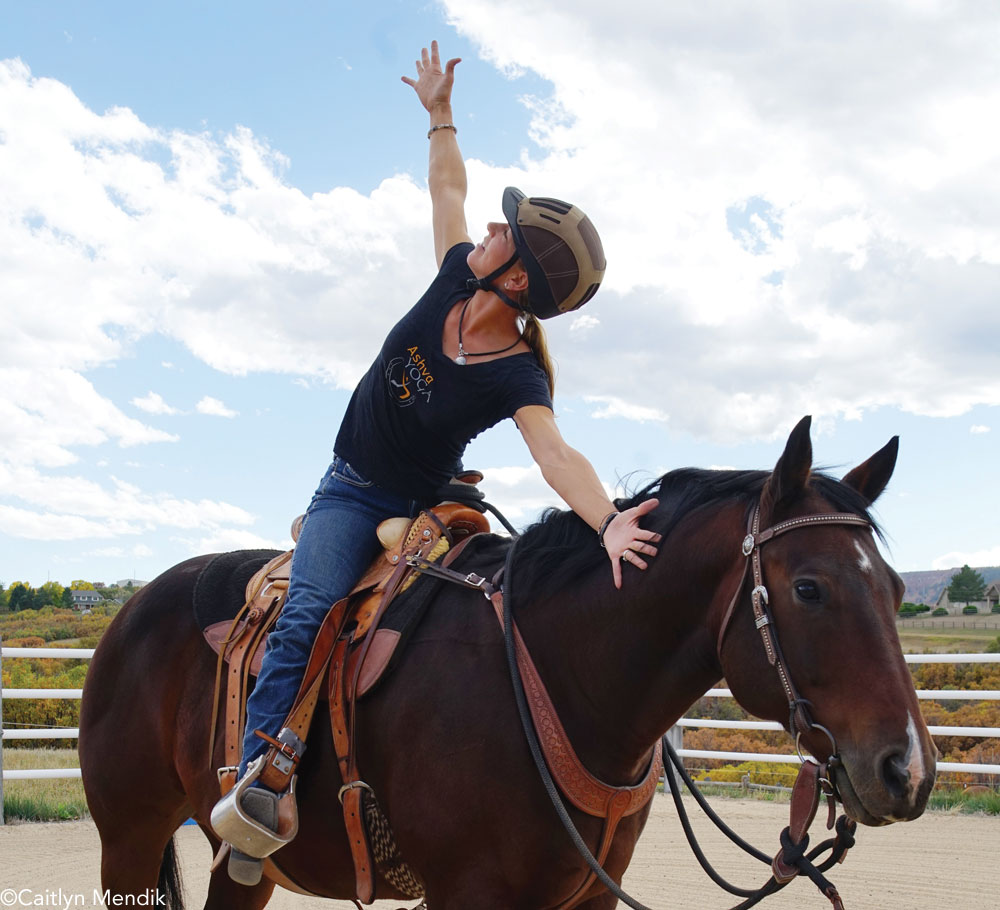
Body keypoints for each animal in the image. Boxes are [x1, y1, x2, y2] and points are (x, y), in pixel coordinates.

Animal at [78, 420, 936, 910]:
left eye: (896, 590)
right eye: (809, 588)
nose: (909, 770)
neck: (555, 674)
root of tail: (132, 608)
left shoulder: (587, 900)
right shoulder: (470, 895)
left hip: (243, 868)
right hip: (128, 839)